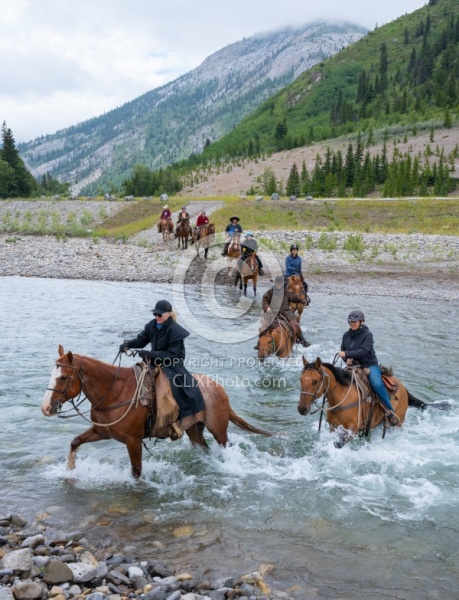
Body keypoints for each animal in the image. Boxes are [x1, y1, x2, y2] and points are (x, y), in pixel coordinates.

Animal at [41, 346, 274, 478]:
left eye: (63, 377)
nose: (46, 408)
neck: (115, 392)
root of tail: (220, 390)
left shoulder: (133, 440)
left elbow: (136, 471)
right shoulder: (102, 432)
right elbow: (75, 442)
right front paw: (70, 471)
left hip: (218, 430)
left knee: (225, 447)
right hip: (194, 429)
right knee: (204, 448)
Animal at [296, 356, 452, 446]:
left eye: (315, 381)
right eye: (301, 379)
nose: (302, 409)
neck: (341, 396)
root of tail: (403, 387)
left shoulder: (351, 430)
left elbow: (338, 444)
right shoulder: (333, 427)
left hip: (398, 422)